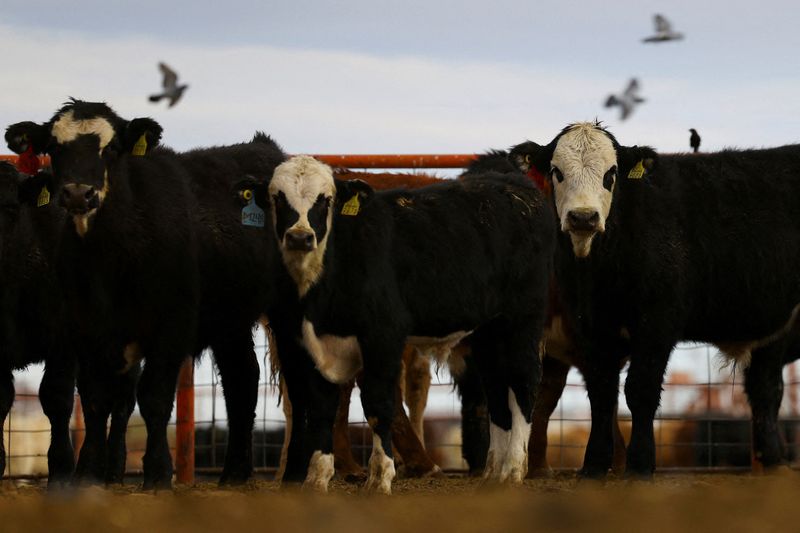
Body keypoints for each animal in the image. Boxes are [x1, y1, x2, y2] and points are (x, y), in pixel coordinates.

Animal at [3, 98, 316, 486]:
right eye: (54, 147)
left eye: (112, 148)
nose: (78, 193)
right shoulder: (84, 329)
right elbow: (94, 399)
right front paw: (88, 473)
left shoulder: (170, 326)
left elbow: (153, 397)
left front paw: (157, 473)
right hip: (230, 319)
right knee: (242, 378)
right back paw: (234, 473)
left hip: (288, 311)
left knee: (299, 382)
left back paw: (295, 471)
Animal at [244, 156, 552, 492]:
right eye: (277, 198)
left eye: (325, 200)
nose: (300, 237)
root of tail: (517, 189)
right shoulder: (310, 343)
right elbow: (322, 406)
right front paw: (317, 478)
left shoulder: (382, 337)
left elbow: (378, 404)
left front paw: (380, 477)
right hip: (488, 331)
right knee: (496, 388)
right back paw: (493, 472)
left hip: (522, 319)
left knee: (523, 382)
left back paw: (513, 468)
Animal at [520, 121, 800, 478]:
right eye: (557, 172)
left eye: (611, 173)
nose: (583, 217)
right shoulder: (592, 326)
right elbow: (601, 392)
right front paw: (594, 466)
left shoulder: (657, 323)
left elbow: (640, 390)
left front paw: (639, 465)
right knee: (765, 390)